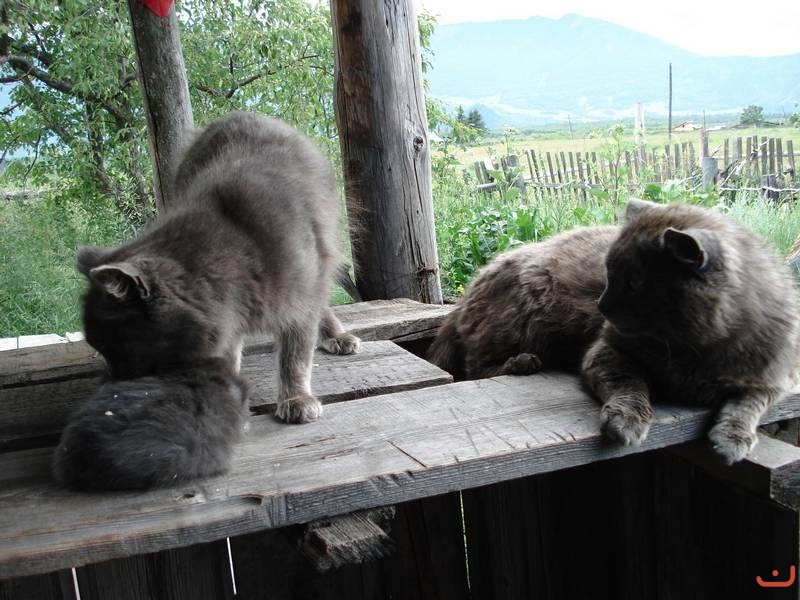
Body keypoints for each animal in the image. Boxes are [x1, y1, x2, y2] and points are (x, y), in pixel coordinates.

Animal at [76, 112, 360, 424]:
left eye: (121, 348)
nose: (113, 380)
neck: (239, 247)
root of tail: (242, 113)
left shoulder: (300, 298)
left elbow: (295, 356)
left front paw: (296, 399)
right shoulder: (228, 320)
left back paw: (335, 336)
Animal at [430, 199, 800, 463]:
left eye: (635, 282)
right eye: (608, 273)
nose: (602, 304)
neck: (697, 348)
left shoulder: (774, 378)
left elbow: (748, 404)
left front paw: (733, 438)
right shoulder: (607, 351)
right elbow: (631, 385)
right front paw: (628, 420)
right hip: (524, 319)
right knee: (475, 366)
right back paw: (522, 363)